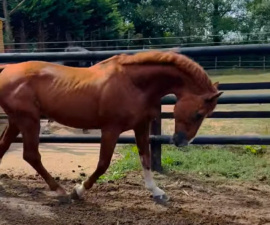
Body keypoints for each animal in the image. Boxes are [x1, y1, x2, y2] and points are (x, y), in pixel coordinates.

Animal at [0, 51, 221, 204]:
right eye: (199, 113)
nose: (181, 141)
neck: (134, 84)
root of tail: (6, 70)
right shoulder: (110, 130)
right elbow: (103, 164)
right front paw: (78, 191)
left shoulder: (141, 126)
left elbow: (146, 159)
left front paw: (157, 192)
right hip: (29, 120)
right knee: (31, 155)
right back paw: (61, 191)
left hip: (16, 121)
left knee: (4, 146)